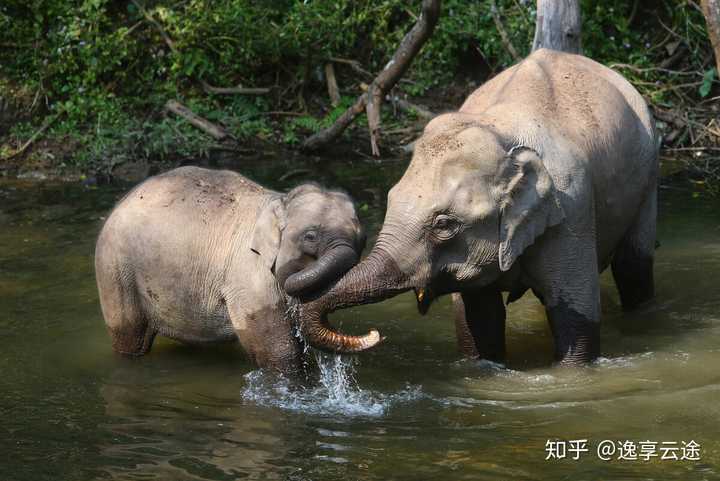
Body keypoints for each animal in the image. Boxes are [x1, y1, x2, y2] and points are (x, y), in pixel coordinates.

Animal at [298, 49, 660, 364]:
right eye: (390, 199)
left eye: (444, 224)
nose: (373, 334)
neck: (501, 133)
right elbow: (479, 321)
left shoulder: (572, 206)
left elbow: (576, 320)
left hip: (648, 169)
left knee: (633, 265)